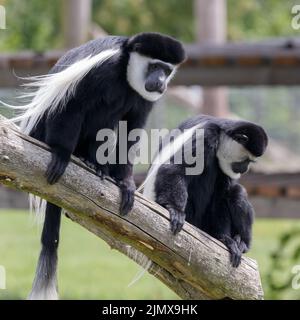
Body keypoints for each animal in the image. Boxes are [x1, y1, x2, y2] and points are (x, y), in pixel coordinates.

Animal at [4, 33, 186, 300]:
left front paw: (126, 182)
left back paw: (97, 165)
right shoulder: (102, 70)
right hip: (47, 129)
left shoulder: (143, 99)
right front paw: (61, 154)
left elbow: (131, 130)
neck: (125, 72)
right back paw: (70, 156)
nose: (161, 82)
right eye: (154, 67)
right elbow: (73, 104)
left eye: (167, 69)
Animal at [143, 115, 268, 268]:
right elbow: (174, 168)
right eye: (246, 160)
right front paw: (175, 210)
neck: (221, 132)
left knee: (236, 193)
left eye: (250, 161)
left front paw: (224, 238)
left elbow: (222, 194)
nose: (245, 169)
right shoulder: (205, 137)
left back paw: (241, 242)